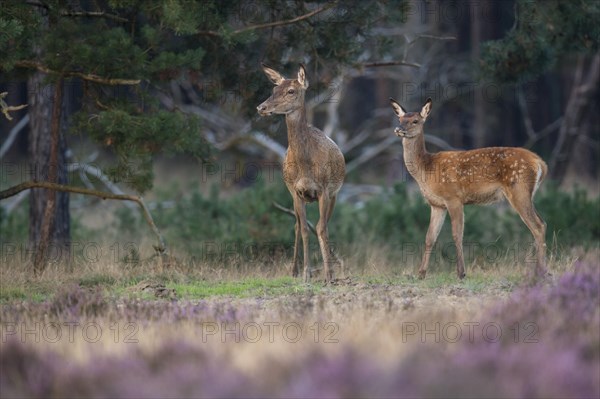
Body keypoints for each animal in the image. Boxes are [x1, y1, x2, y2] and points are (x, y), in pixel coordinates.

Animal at [390, 98, 548, 280]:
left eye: (415, 121)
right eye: (400, 119)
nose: (398, 129)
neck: (426, 169)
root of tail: (540, 163)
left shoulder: (453, 197)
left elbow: (457, 234)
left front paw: (461, 273)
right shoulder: (436, 204)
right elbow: (430, 237)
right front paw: (421, 274)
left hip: (519, 190)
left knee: (537, 225)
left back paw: (541, 272)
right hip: (527, 194)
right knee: (542, 222)